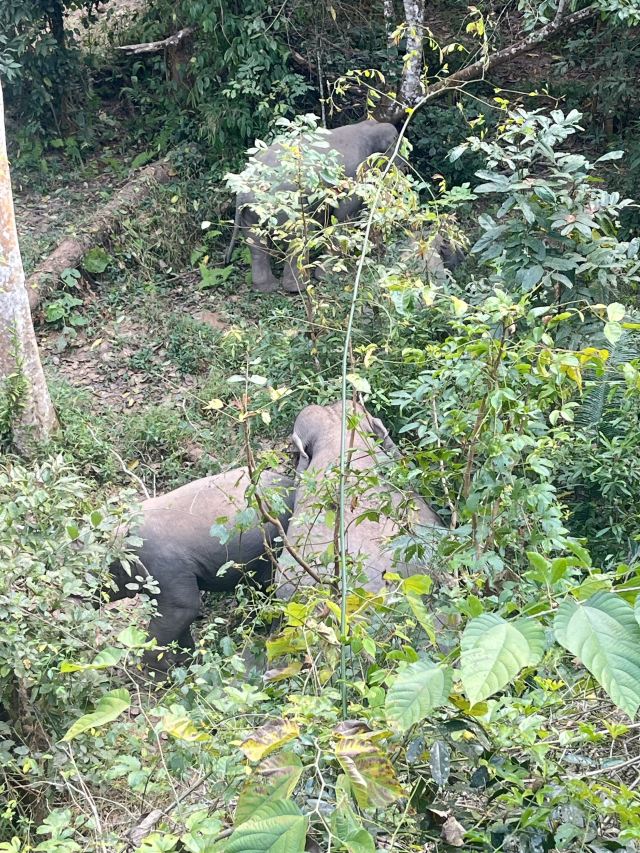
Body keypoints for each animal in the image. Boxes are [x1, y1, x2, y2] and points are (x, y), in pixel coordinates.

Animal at [225, 119, 400, 293]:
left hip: (251, 211)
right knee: (299, 238)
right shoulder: (355, 174)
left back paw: (266, 288)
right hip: (286, 210)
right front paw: (327, 276)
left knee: (256, 244)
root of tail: (243, 189)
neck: (366, 127)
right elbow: (343, 216)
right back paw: (298, 288)